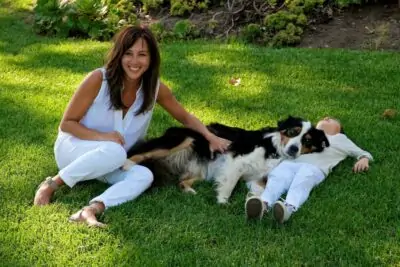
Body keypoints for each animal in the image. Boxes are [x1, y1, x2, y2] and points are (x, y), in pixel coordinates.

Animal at [124, 116, 328, 204]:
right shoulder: (237, 161)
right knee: (141, 153)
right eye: (293, 132)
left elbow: (263, 191)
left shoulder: (256, 179)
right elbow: (229, 185)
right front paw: (223, 202)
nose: (294, 149)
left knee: (181, 181)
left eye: (307, 141)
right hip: (184, 139)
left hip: (201, 171)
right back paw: (127, 164)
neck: (275, 150)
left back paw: (189, 190)